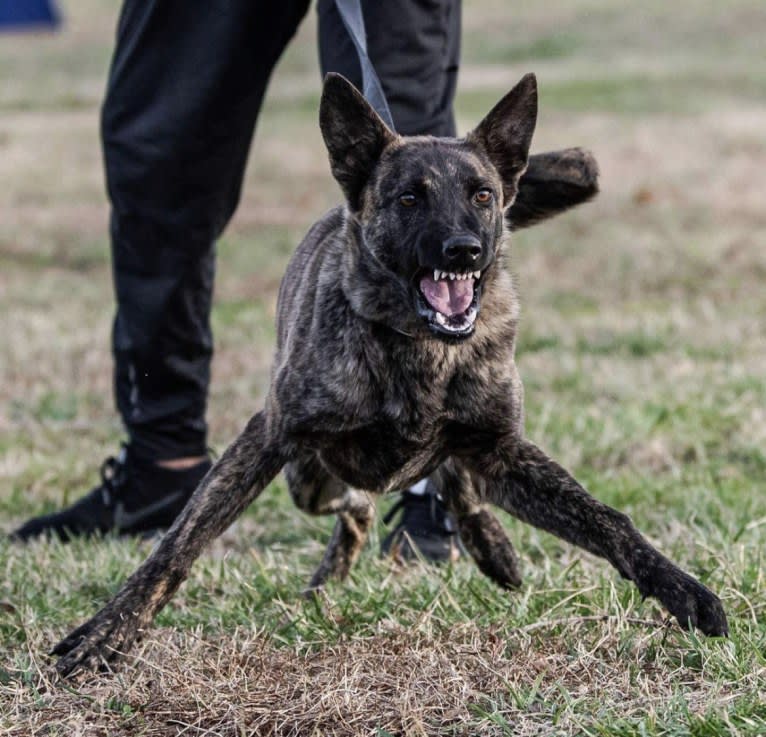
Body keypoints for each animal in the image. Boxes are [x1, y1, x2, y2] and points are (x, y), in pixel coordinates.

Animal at [52, 72, 728, 676]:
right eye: (409, 197)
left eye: (482, 195)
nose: (464, 251)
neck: (420, 348)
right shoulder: (268, 439)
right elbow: (177, 545)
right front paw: (106, 633)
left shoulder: (505, 450)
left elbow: (607, 520)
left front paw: (681, 589)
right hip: (307, 477)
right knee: (358, 505)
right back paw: (341, 568)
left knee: (452, 481)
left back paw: (491, 545)